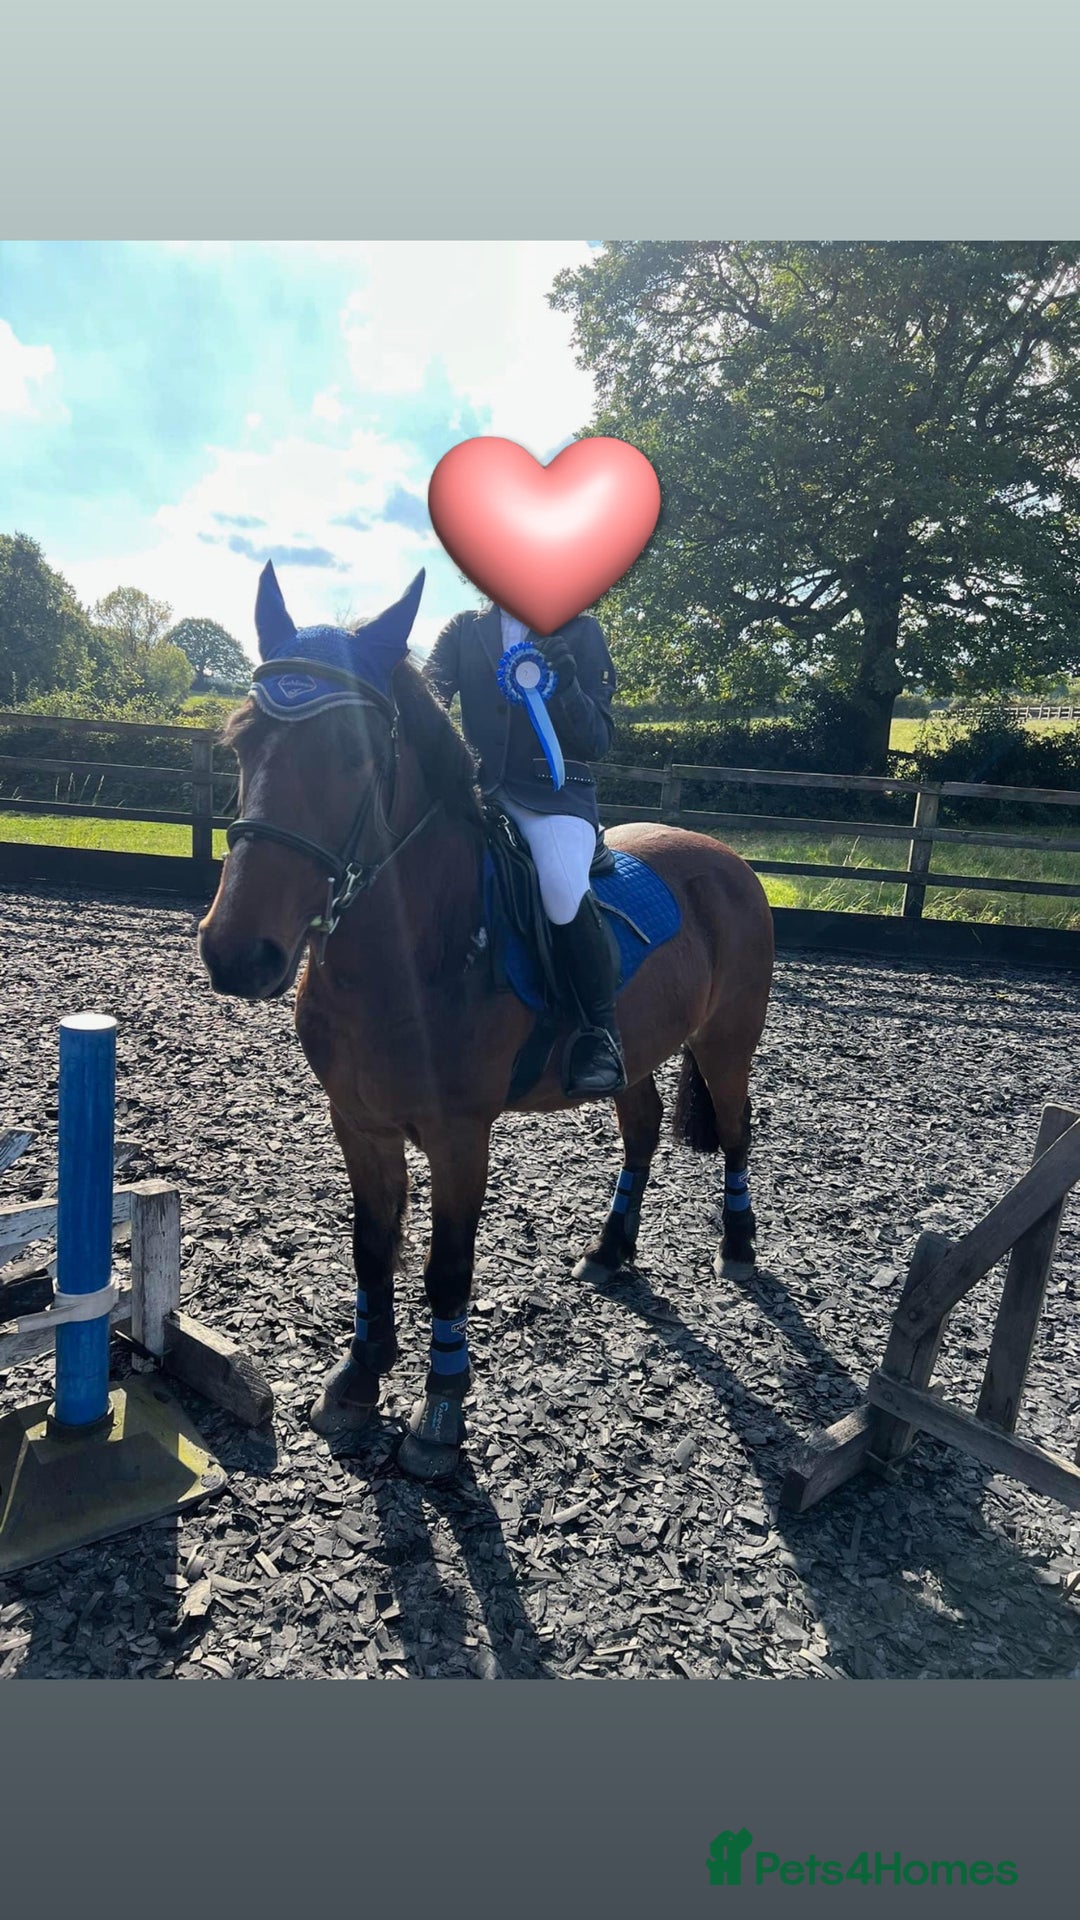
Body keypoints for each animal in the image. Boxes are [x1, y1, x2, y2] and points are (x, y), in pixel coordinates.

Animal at [198, 568, 775, 1482]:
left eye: (356, 756)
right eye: (240, 744)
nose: (236, 954)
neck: (407, 956)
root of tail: (726, 860)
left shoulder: (459, 1135)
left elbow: (447, 1268)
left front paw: (439, 1413)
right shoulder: (358, 1124)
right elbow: (372, 1247)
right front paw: (357, 1379)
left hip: (728, 1040)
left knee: (740, 1129)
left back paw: (740, 1245)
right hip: (640, 1050)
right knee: (643, 1128)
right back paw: (611, 1249)